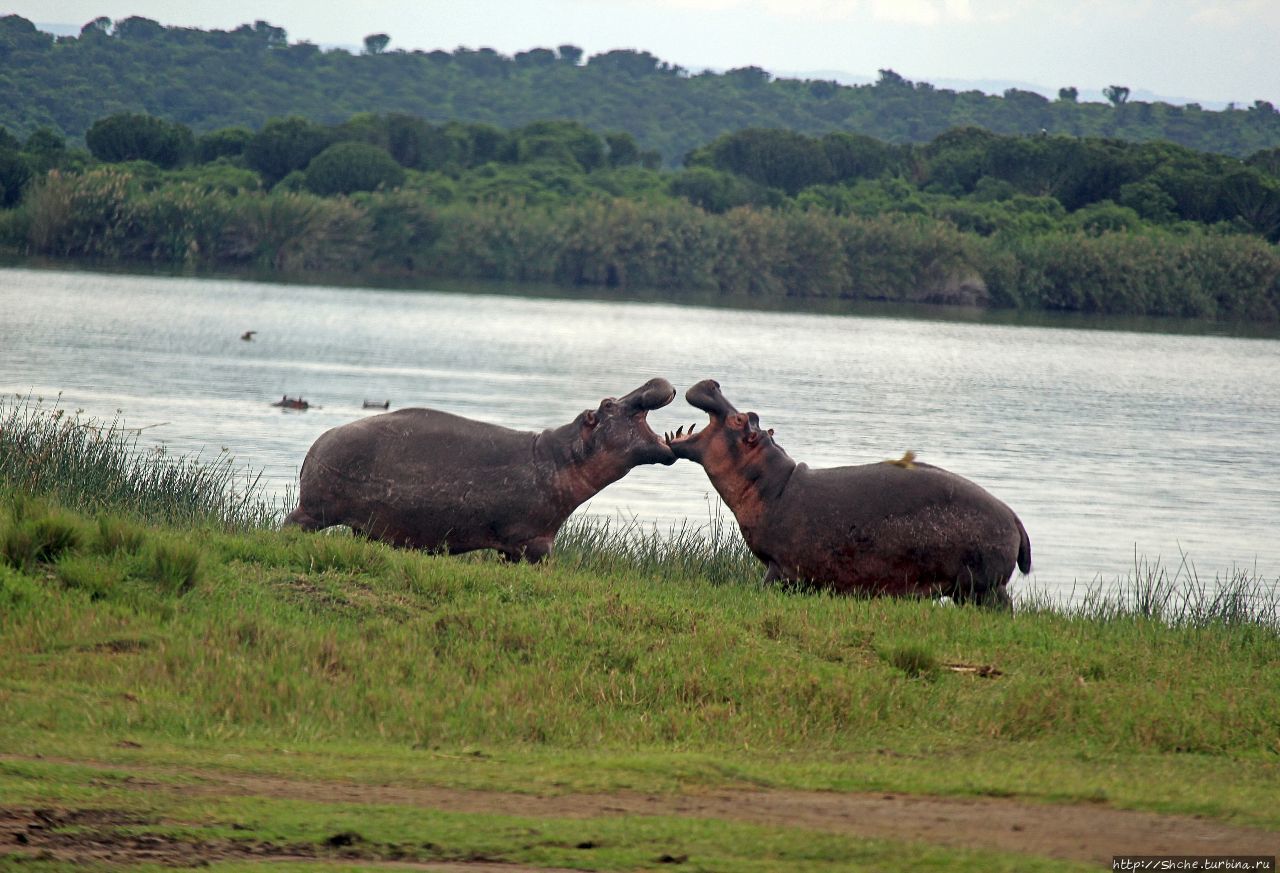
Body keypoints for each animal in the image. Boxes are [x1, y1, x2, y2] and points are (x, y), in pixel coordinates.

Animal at [282, 376, 680, 560]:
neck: (563, 456)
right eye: (608, 404)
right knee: (291, 523)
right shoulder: (532, 544)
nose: (653, 381)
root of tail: (317, 444)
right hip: (315, 511)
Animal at [670, 381, 1029, 604]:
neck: (773, 483)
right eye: (753, 416)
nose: (713, 383)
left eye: (740, 419)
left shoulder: (780, 567)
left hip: (983, 587)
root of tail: (1014, 516)